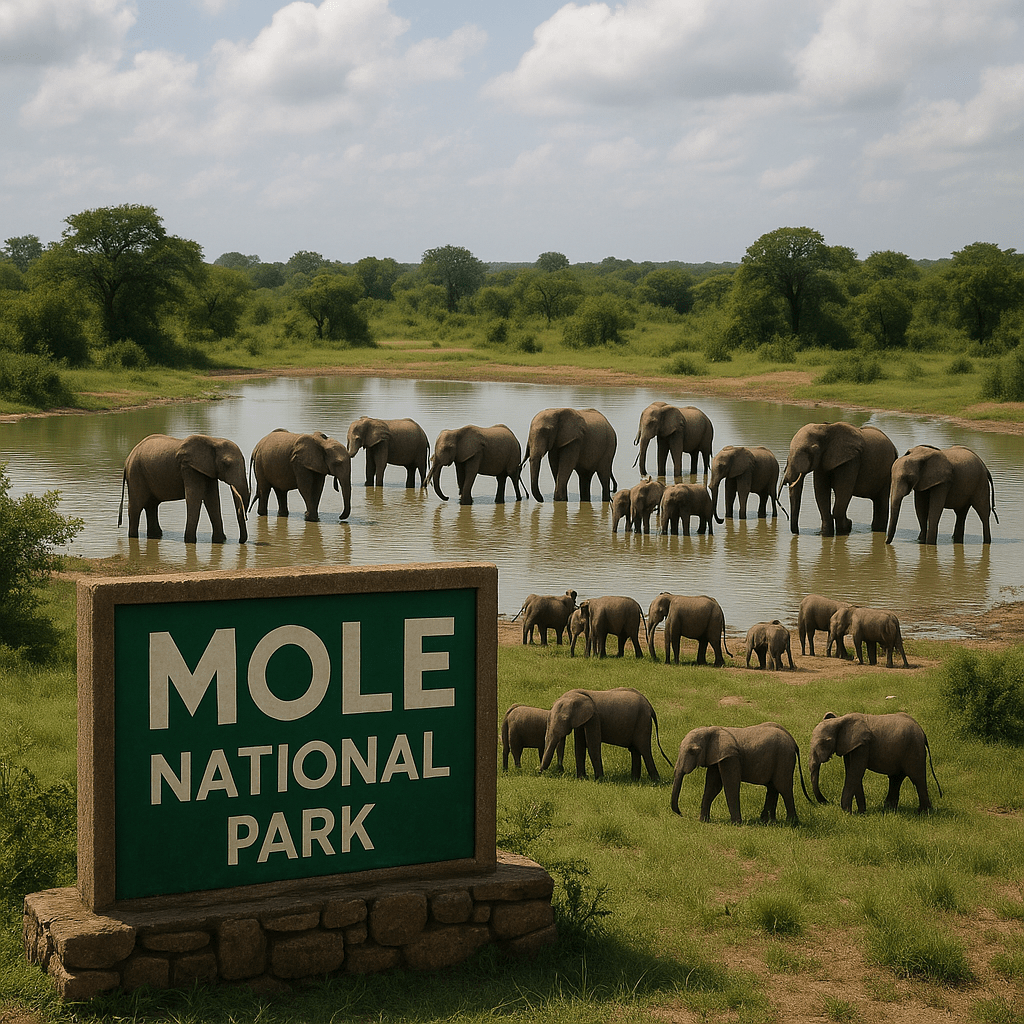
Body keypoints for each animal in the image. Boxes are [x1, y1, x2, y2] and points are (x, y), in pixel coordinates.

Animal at [118, 433, 250, 544]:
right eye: (226, 463)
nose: (240, 541)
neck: (213, 440)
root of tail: (127, 459)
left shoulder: (208, 471)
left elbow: (212, 500)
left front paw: (219, 541)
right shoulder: (189, 468)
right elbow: (194, 498)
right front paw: (190, 541)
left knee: (152, 506)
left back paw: (155, 535)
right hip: (136, 473)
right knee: (136, 507)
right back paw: (133, 536)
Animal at [539, 687, 670, 781]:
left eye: (565, 719)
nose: (539, 773)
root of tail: (650, 706)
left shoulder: (594, 718)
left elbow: (592, 745)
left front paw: (599, 780)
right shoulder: (583, 720)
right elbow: (579, 746)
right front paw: (582, 779)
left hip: (642, 721)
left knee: (644, 749)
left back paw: (656, 781)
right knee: (635, 750)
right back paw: (634, 781)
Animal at [670, 723, 810, 824]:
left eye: (693, 751)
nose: (681, 813)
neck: (711, 729)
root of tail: (793, 741)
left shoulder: (730, 758)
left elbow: (731, 784)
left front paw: (736, 824)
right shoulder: (716, 757)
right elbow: (712, 787)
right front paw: (703, 821)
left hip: (784, 758)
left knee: (784, 787)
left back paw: (791, 823)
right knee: (772, 787)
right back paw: (768, 821)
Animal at [809, 711, 941, 813]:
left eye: (824, 742)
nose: (828, 802)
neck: (840, 720)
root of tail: (922, 732)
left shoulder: (863, 745)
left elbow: (856, 773)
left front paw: (848, 812)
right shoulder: (851, 746)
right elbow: (852, 773)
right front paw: (861, 813)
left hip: (914, 749)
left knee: (917, 778)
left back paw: (923, 813)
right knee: (896, 779)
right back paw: (889, 811)